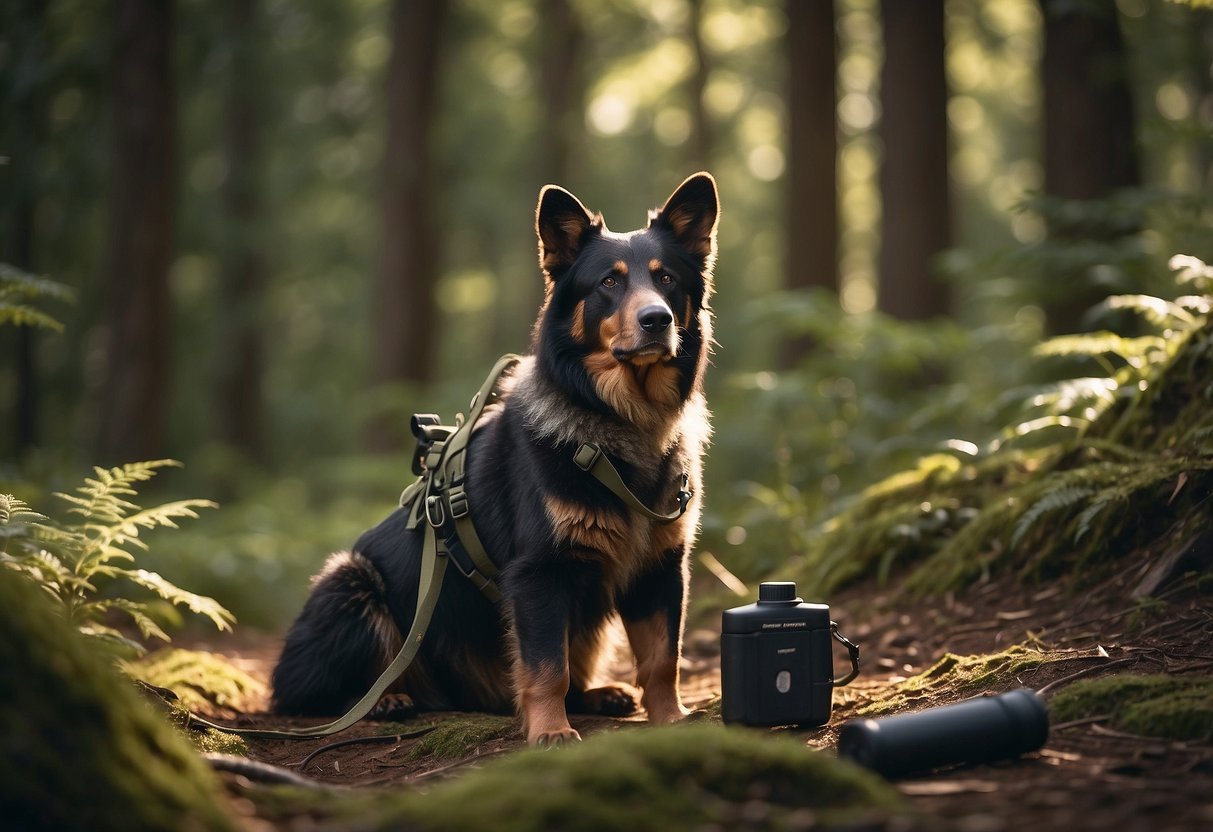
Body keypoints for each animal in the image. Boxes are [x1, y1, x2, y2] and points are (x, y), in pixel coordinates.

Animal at [270, 172, 713, 747]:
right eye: (608, 284)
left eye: (666, 280)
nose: (656, 320)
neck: (618, 423)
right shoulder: (538, 575)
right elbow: (547, 666)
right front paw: (550, 731)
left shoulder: (661, 570)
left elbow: (662, 660)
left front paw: (671, 722)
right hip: (349, 584)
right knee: (312, 696)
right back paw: (386, 700)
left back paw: (598, 695)